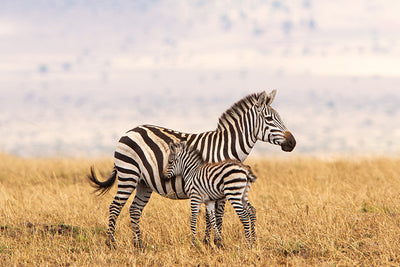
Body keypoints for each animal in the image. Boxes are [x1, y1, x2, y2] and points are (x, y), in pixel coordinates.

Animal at [88, 90, 294, 249]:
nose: (292, 143)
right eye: (269, 118)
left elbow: (214, 215)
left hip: (143, 182)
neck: (224, 148)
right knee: (115, 206)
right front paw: (214, 243)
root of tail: (129, 131)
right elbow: (215, 215)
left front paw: (209, 242)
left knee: (134, 209)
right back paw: (111, 244)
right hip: (128, 174)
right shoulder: (212, 184)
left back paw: (138, 244)